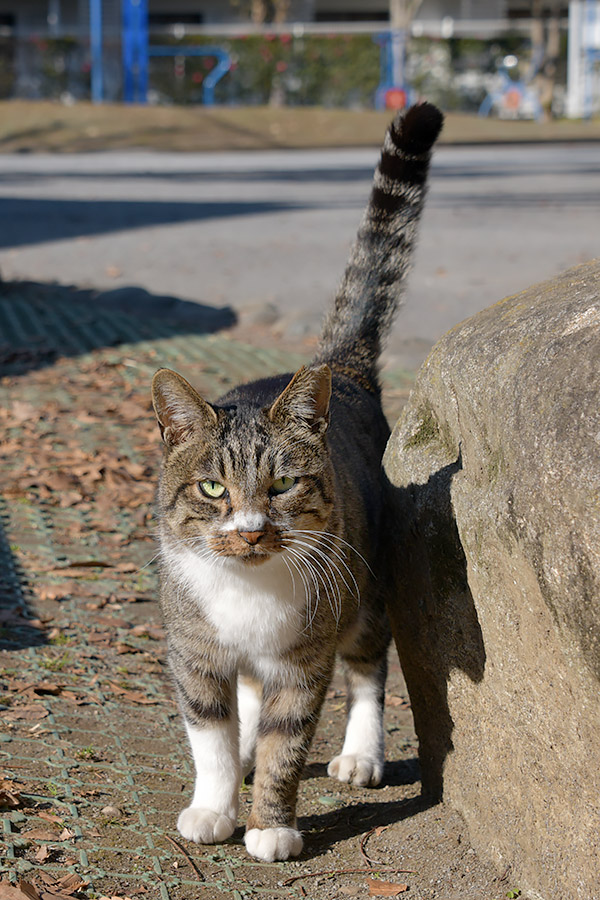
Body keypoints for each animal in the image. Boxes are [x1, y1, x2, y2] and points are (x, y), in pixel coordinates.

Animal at [149, 102, 440, 860]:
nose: (252, 531)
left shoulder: (305, 661)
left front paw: (272, 827)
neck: (248, 590)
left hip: (367, 588)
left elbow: (290, 742)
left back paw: (361, 753)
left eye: (282, 487)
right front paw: (215, 806)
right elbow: (211, 737)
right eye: (212, 490)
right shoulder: (196, 654)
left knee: (367, 669)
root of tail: (345, 368)